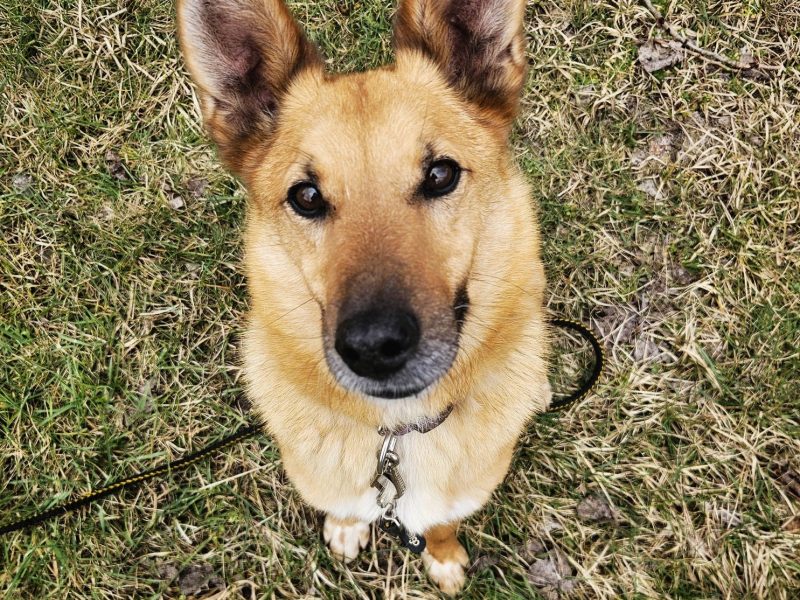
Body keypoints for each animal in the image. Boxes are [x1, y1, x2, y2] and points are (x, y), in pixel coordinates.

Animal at [177, 0, 550, 594]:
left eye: (440, 174)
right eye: (307, 196)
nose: (375, 346)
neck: (395, 436)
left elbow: (441, 524)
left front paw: (443, 556)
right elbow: (345, 506)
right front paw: (349, 526)